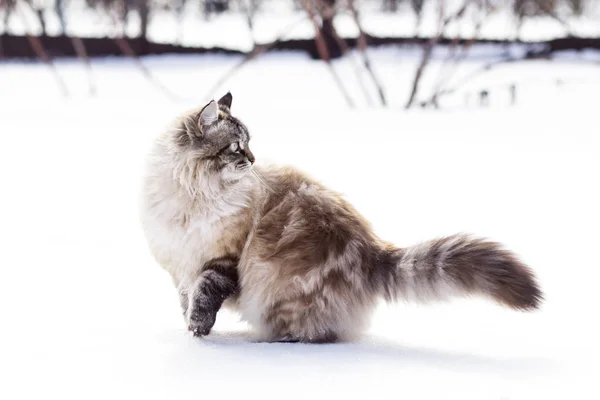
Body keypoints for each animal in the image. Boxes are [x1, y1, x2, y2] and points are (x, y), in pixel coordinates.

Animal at [141, 92, 544, 342]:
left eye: (250, 145)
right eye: (237, 148)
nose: (253, 161)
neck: (193, 196)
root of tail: (373, 253)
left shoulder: (220, 259)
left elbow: (205, 297)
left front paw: (198, 331)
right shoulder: (181, 266)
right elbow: (188, 299)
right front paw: (190, 330)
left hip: (278, 294)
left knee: (318, 333)